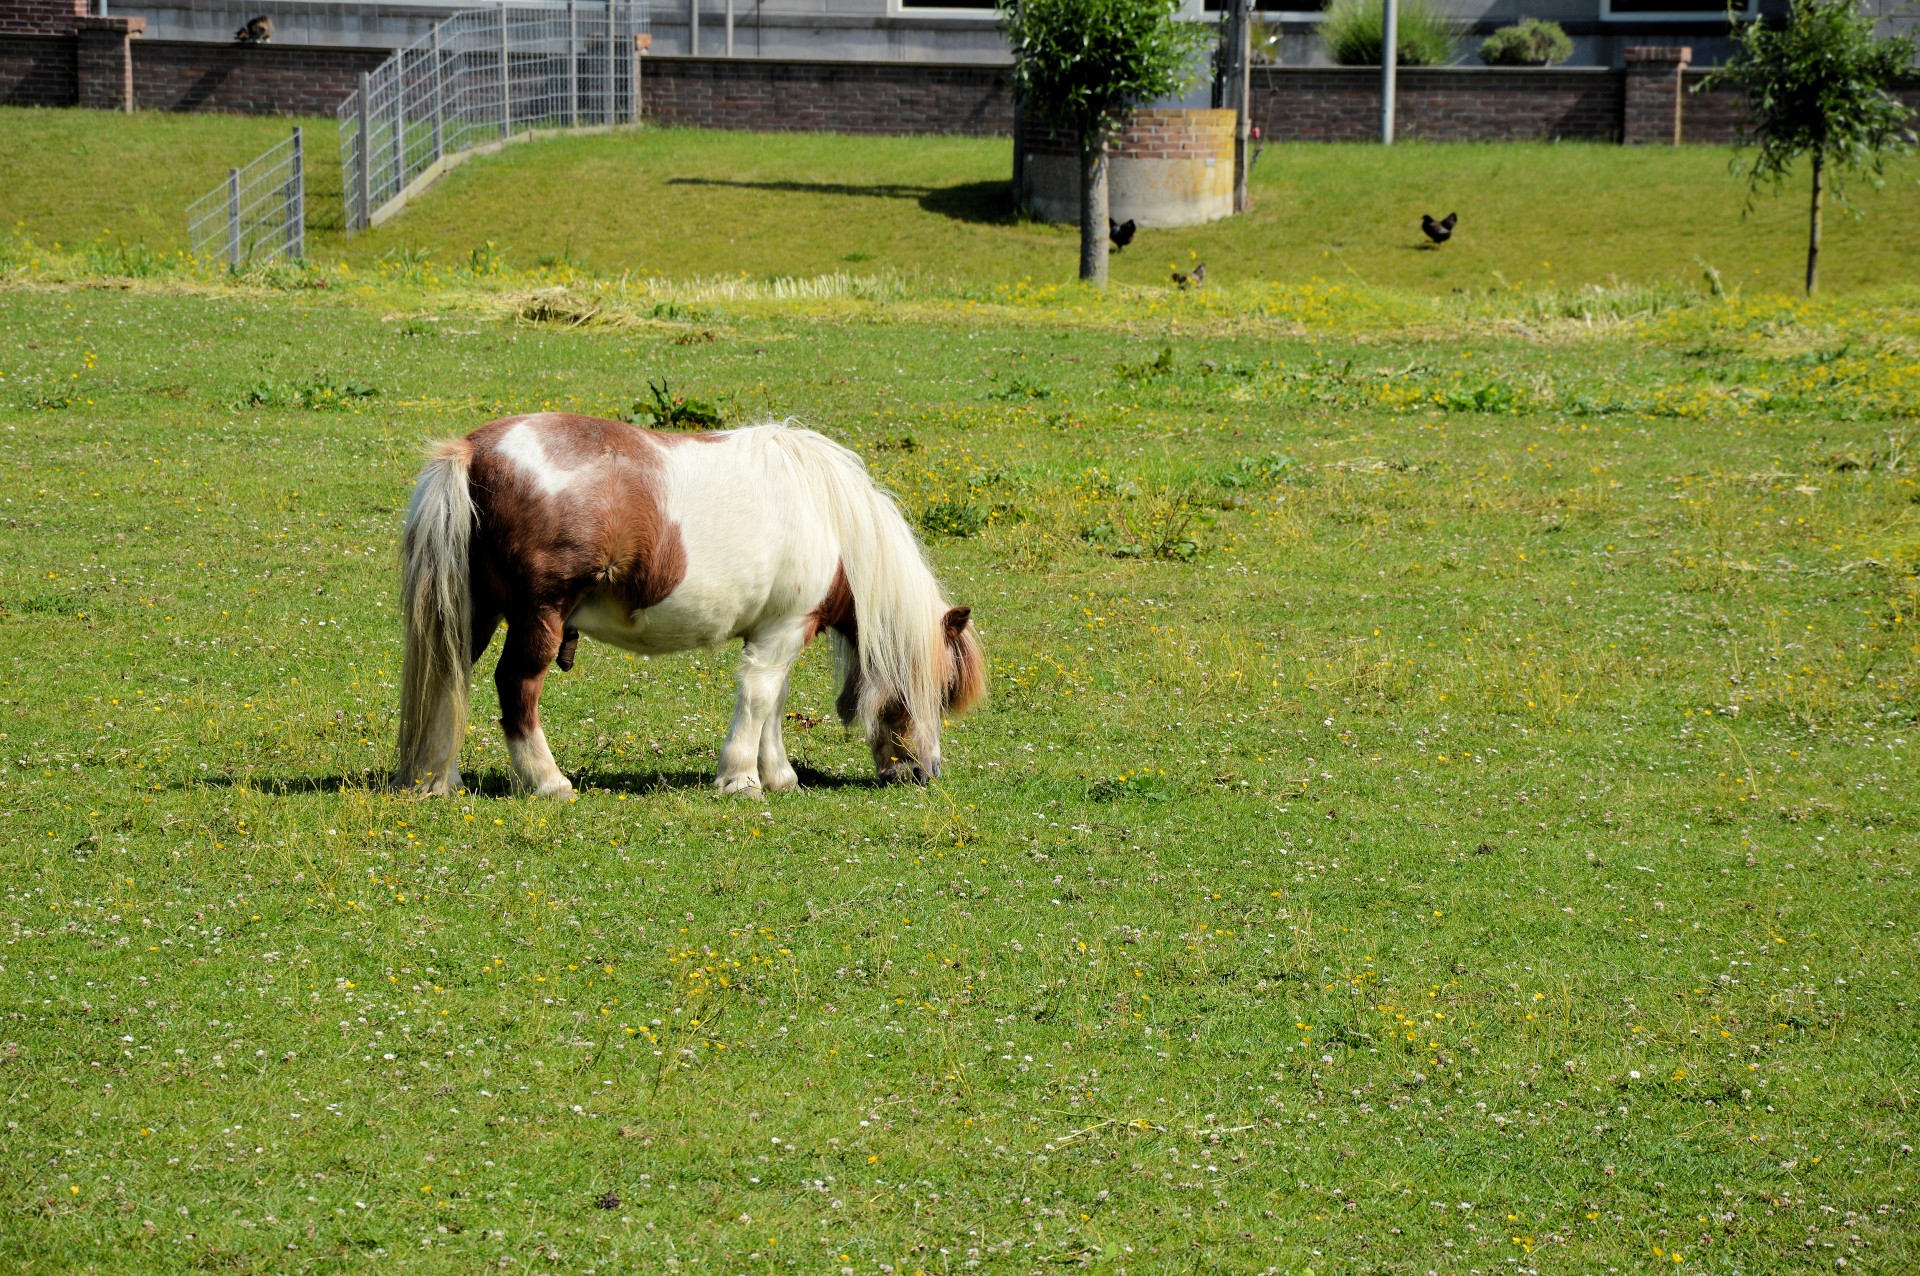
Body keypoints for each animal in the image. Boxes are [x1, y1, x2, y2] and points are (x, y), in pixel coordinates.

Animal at [395, 416, 983, 798]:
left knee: (449, 677)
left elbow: (773, 703)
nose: (923, 773)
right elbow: (758, 698)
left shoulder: (776, 631)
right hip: (539, 618)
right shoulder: (783, 630)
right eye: (940, 689)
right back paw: (548, 782)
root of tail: (473, 450)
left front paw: (779, 776)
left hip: (472, 614)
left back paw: (439, 780)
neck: (829, 517)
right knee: (516, 687)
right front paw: (741, 780)